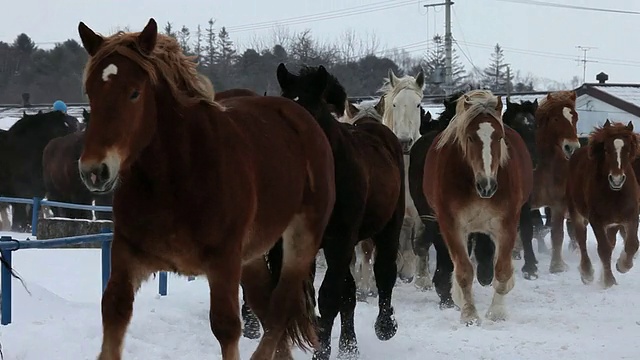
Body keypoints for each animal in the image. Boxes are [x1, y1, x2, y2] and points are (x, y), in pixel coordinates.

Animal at [78, 18, 338, 358]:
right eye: (90, 93)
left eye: (134, 93)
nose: (94, 171)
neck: (176, 178)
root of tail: (304, 121)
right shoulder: (127, 253)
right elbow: (114, 309)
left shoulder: (223, 261)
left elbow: (226, 327)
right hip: (251, 257)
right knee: (267, 311)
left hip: (301, 239)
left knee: (279, 312)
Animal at [276, 64, 404, 360]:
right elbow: (321, 293)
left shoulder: (340, 241)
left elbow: (329, 296)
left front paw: (321, 350)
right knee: (349, 289)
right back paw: (349, 345)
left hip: (389, 226)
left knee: (384, 271)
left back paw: (385, 325)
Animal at [422, 89, 532, 324]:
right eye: (470, 137)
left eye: (499, 137)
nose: (487, 185)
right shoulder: (451, 225)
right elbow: (463, 270)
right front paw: (469, 314)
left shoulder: (506, 224)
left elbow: (502, 269)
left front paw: (497, 312)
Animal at [528, 90, 584, 272]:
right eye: (555, 119)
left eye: (575, 117)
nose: (572, 147)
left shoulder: (558, 204)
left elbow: (557, 234)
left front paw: (557, 266)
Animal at [568, 121, 636, 290]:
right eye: (606, 149)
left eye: (628, 149)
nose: (616, 179)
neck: (615, 193)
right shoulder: (597, 220)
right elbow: (603, 250)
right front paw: (608, 280)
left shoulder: (630, 217)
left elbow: (632, 244)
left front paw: (622, 265)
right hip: (576, 212)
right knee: (581, 240)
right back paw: (587, 273)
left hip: (612, 225)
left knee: (611, 243)